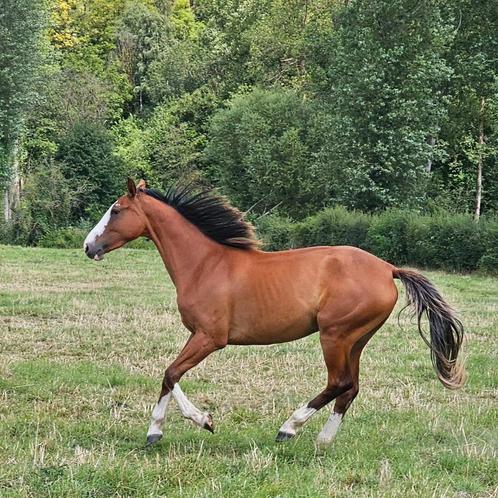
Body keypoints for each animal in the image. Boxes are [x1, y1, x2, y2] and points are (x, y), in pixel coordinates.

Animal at [83, 179, 464, 448]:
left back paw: (288, 428)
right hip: (357, 339)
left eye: (116, 210)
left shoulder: (210, 337)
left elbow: (170, 372)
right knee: (351, 388)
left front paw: (198, 422)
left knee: (338, 383)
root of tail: (388, 269)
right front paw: (158, 432)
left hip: (335, 335)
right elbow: (169, 376)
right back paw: (323, 441)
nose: (88, 246)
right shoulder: (196, 335)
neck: (205, 265)